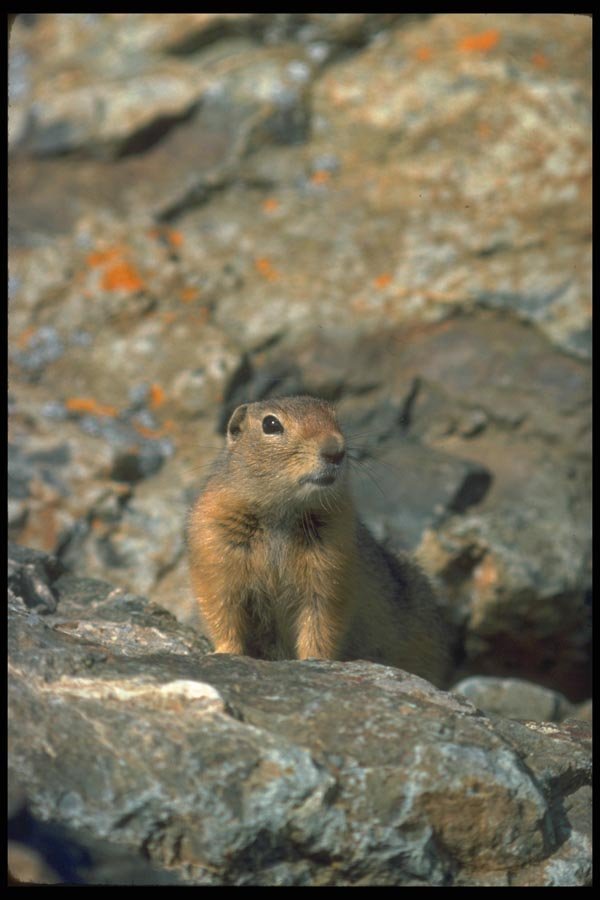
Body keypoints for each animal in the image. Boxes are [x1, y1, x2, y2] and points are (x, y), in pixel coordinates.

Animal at [187, 396, 450, 687]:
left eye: (335, 417)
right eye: (270, 424)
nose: (335, 450)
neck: (282, 513)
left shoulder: (332, 563)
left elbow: (321, 620)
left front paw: (315, 660)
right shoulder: (216, 546)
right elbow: (222, 609)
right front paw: (225, 652)